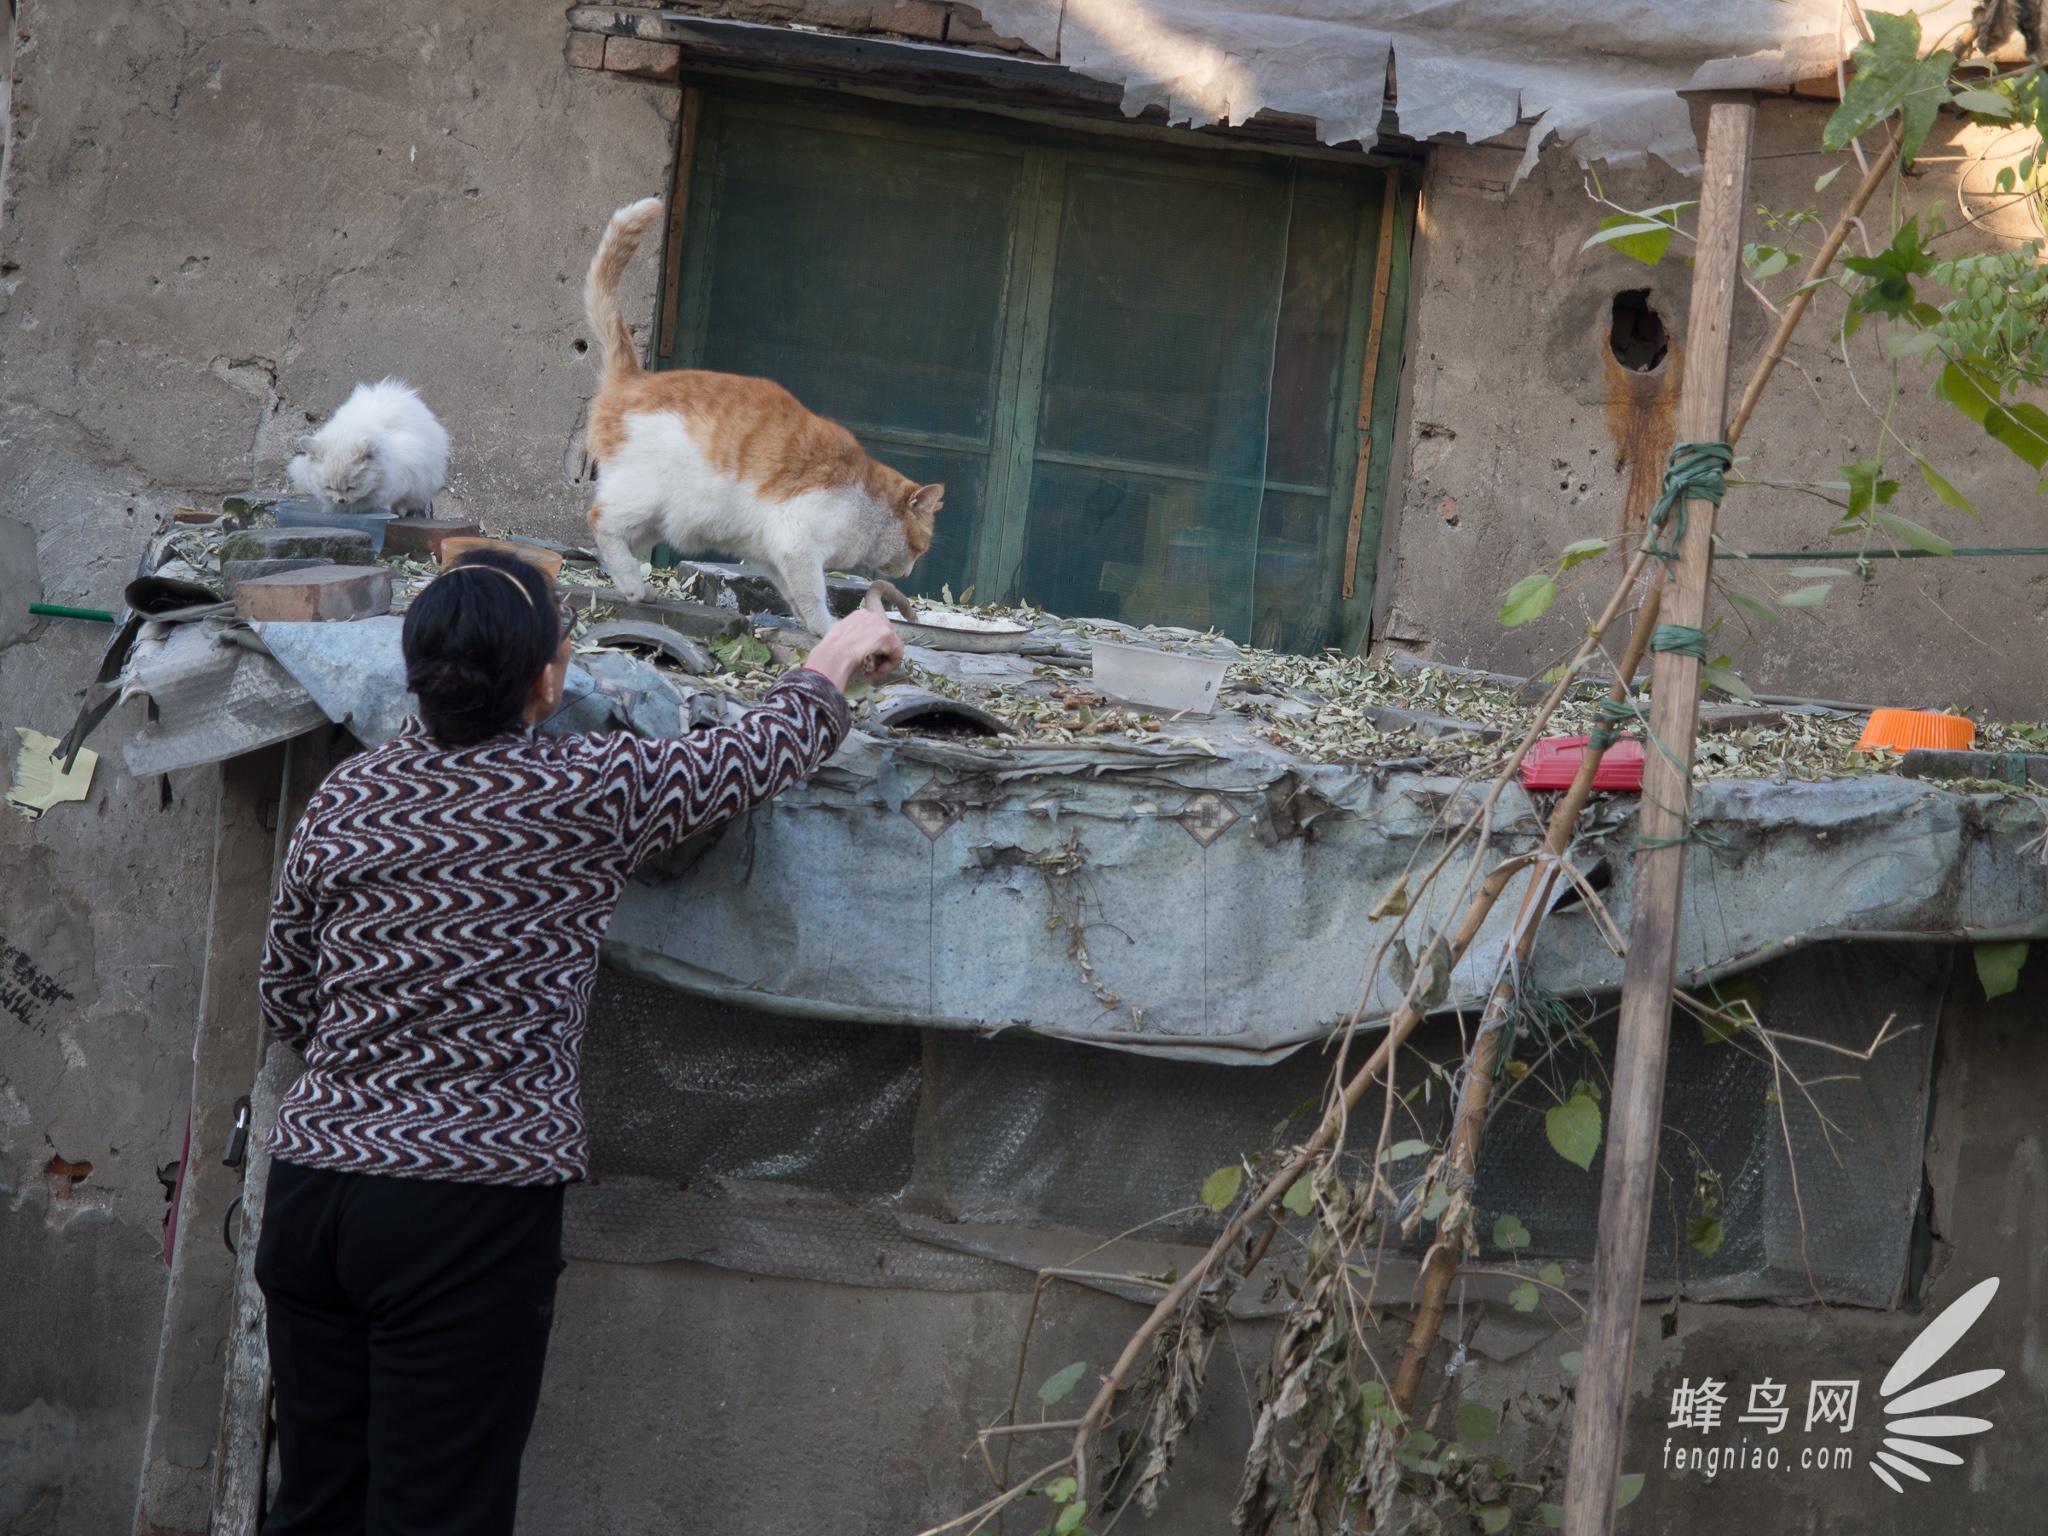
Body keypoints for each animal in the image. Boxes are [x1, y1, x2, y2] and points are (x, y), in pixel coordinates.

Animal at [573, 198, 937, 638]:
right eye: (920, 547)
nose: (911, 571)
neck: (867, 506)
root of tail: (633, 378)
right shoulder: (798, 541)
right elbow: (813, 593)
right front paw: (828, 628)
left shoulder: (773, 554)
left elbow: (794, 595)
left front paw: (814, 627)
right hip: (645, 495)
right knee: (601, 521)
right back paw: (633, 586)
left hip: (661, 517)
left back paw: (635, 585)